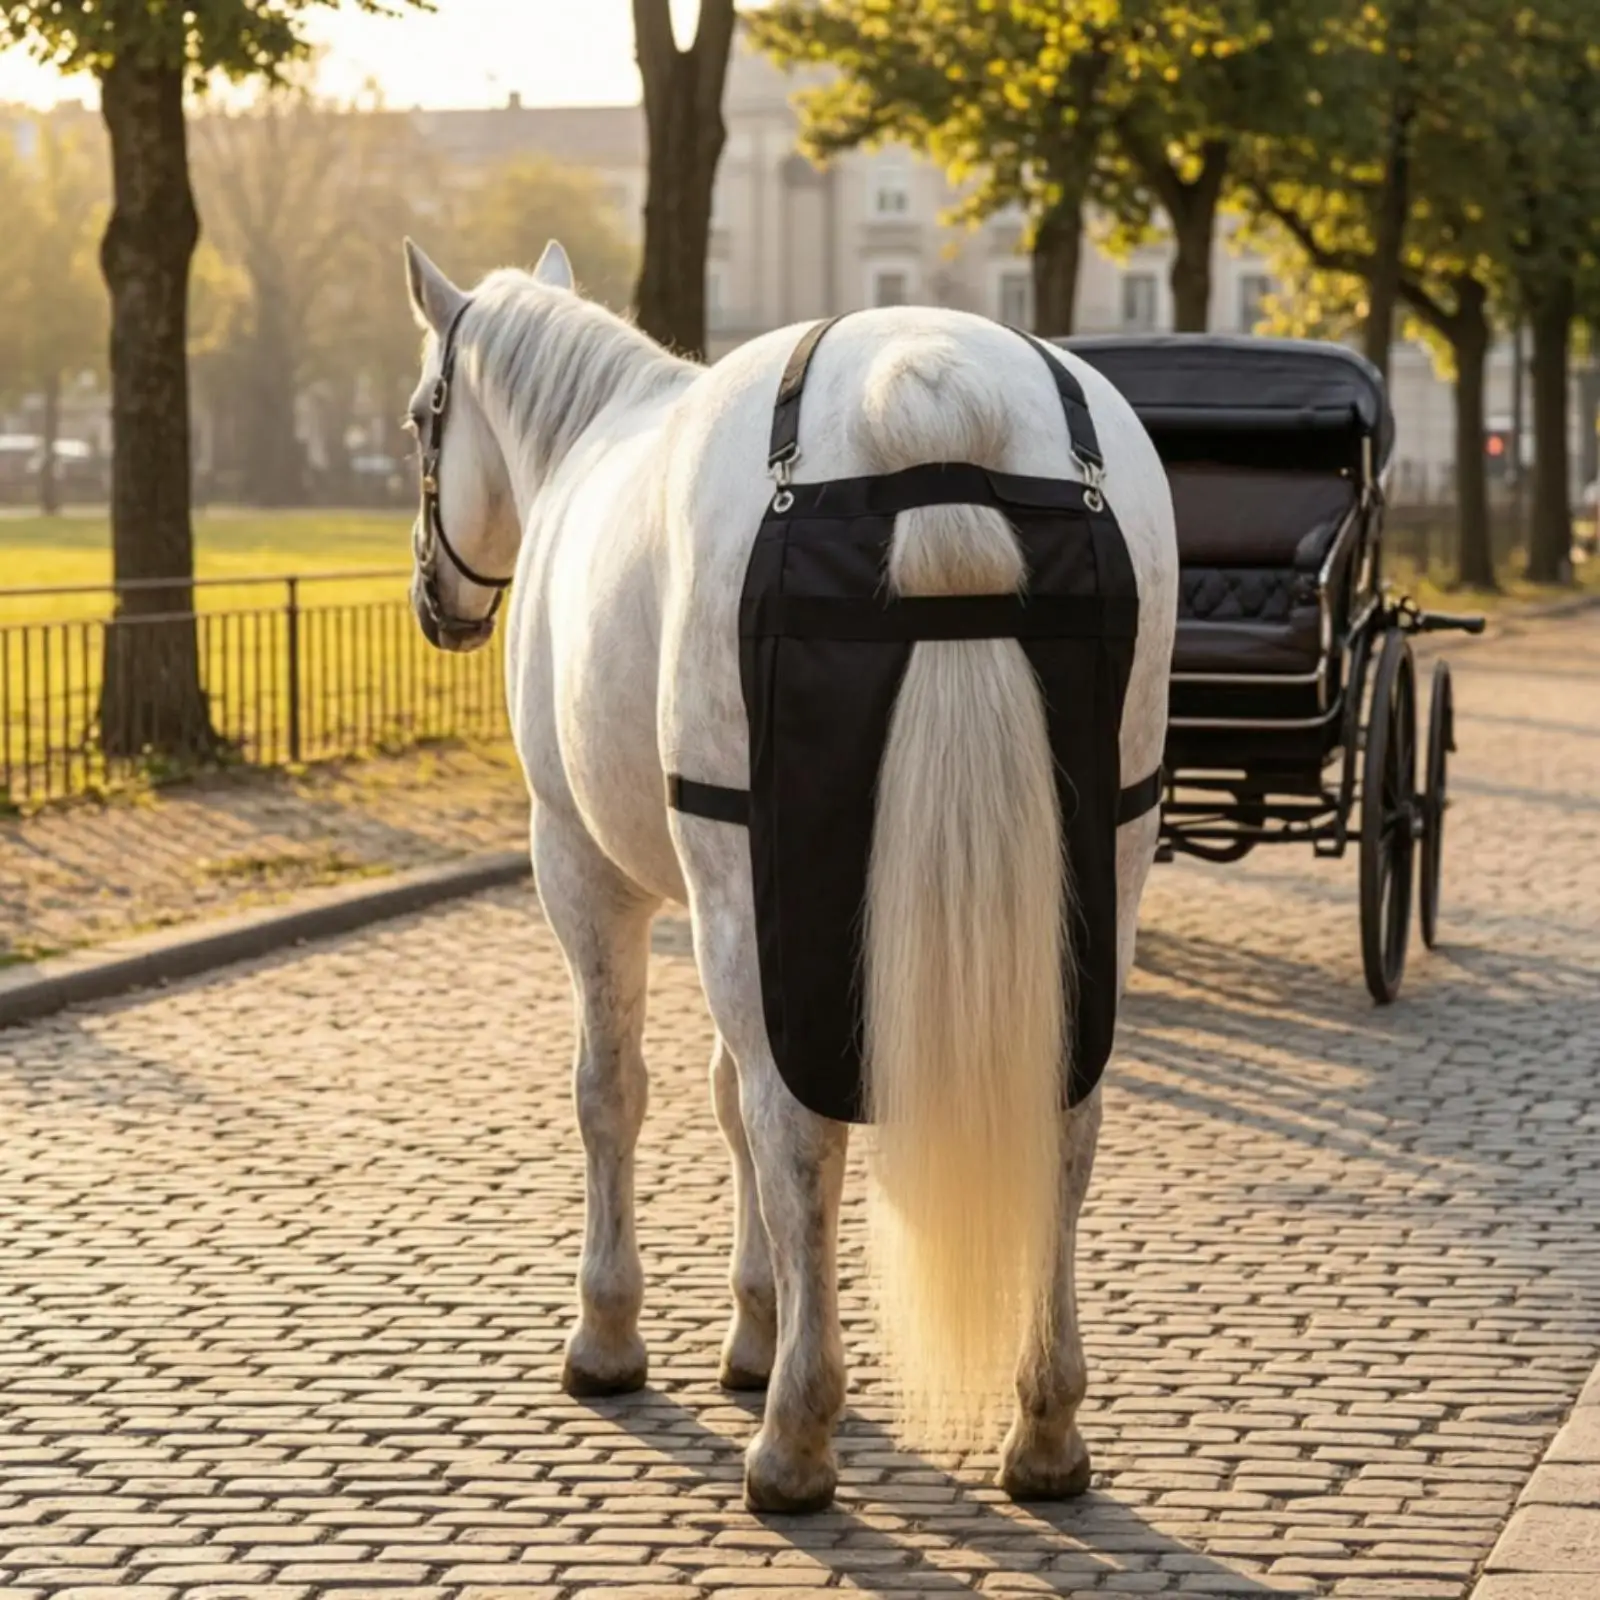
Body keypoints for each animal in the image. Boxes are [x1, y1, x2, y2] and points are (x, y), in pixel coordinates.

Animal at [400, 236, 1176, 1513]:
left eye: (424, 412)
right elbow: (723, 1101)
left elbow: (617, 1093)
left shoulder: (586, 870)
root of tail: (933, 378)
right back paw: (1045, 1422)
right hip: (1100, 866)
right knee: (1063, 1119)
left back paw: (796, 1435)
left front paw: (611, 1328)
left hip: (729, 886)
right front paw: (753, 1320)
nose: (434, 598)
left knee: (798, 1126)